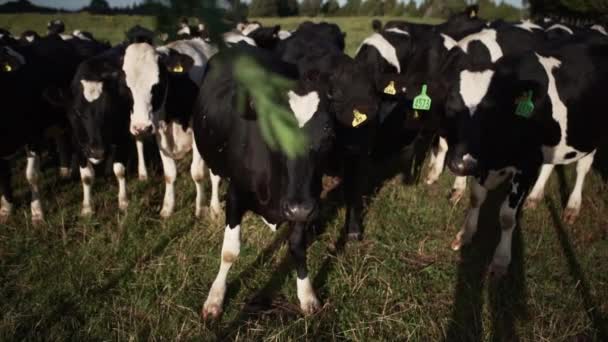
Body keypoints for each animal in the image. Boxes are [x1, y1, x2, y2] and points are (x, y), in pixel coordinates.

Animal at [120, 37, 222, 218]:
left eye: (157, 84)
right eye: (126, 87)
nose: (141, 128)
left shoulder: (198, 135)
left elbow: (197, 173)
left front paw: (201, 208)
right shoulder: (159, 132)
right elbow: (169, 174)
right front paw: (167, 208)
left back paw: (215, 208)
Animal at [195, 44, 334, 318]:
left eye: (327, 134)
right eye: (274, 128)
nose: (298, 207)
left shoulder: (306, 201)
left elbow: (297, 246)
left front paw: (307, 295)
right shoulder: (236, 195)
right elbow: (230, 252)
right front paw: (215, 297)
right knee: (213, 177)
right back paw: (213, 208)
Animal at [442, 34, 608, 276]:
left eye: (492, 109)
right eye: (450, 105)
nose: (459, 165)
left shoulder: (525, 165)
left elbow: (506, 217)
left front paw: (501, 260)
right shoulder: (485, 164)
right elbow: (476, 197)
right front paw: (465, 234)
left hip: (591, 134)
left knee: (583, 167)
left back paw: (572, 207)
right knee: (551, 164)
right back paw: (535, 197)